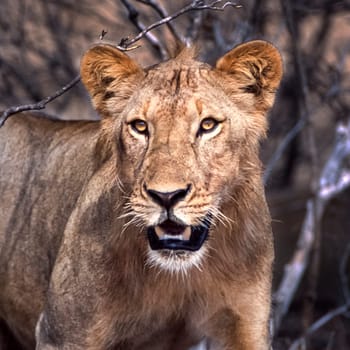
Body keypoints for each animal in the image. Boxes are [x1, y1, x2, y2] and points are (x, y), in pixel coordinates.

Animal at [0, 39, 282, 348]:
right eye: (140, 126)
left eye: (208, 125)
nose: (166, 196)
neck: (176, 278)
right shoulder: (63, 332)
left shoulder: (247, 327)